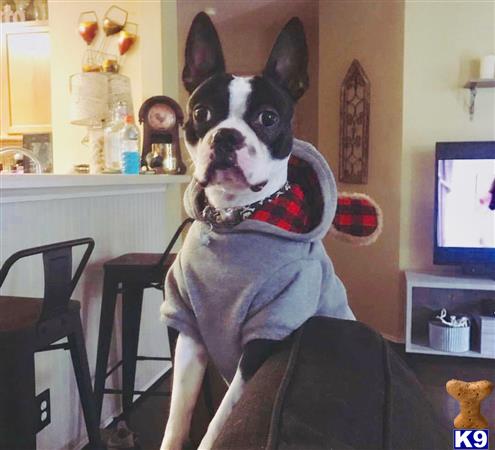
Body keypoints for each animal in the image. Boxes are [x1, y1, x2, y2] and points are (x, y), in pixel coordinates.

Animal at [161, 10, 354, 450]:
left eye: (268, 118)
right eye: (202, 114)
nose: (227, 135)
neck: (234, 218)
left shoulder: (267, 334)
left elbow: (218, 422)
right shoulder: (190, 332)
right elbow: (178, 414)